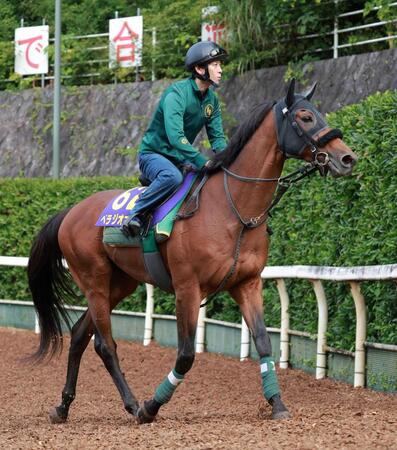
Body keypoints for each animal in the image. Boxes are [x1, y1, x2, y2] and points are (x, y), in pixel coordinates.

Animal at [27, 78, 356, 426]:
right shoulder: (187, 288)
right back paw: (132, 404)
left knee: (79, 334)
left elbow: (264, 343)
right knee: (105, 344)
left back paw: (63, 406)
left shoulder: (247, 283)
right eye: (306, 117)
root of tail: (70, 212)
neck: (232, 208)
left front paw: (277, 403)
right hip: (94, 281)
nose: (347, 158)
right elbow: (185, 355)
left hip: (120, 283)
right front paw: (151, 406)